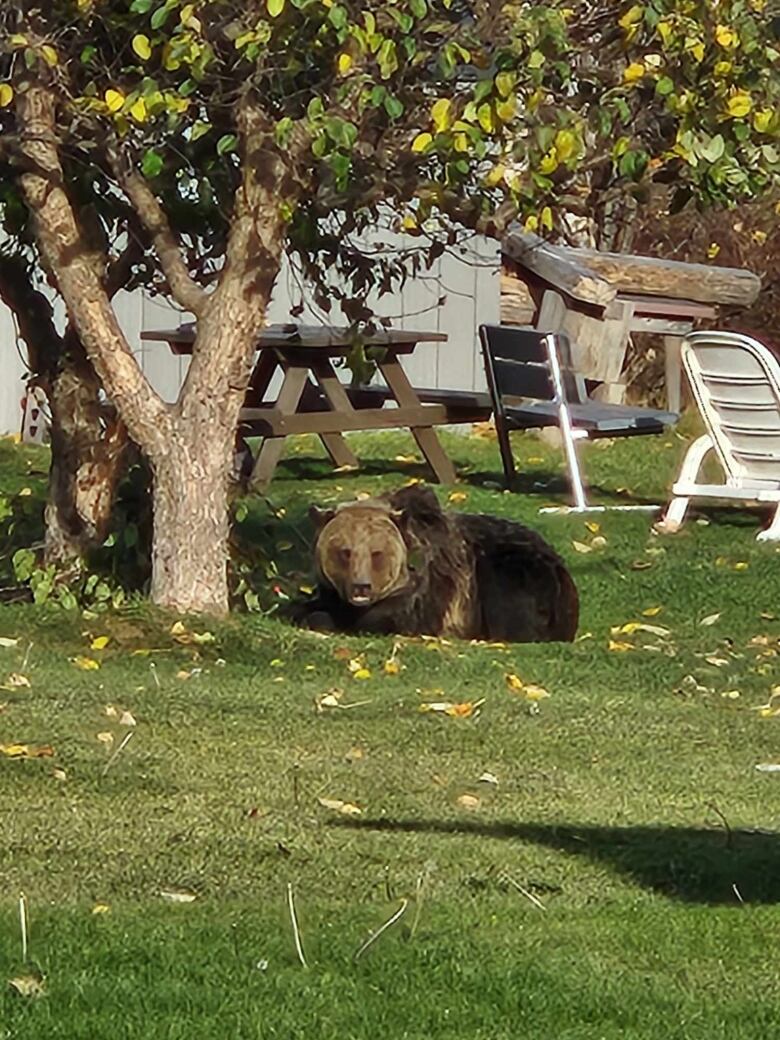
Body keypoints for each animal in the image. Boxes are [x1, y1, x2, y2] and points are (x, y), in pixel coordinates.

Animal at [291, 484, 578, 640]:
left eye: (376, 553)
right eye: (345, 551)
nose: (361, 586)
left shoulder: (432, 587)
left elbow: (392, 617)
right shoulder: (331, 589)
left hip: (514, 571)